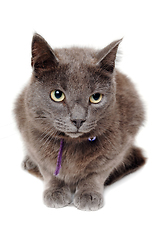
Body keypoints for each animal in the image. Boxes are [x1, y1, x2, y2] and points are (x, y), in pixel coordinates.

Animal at [14, 33, 146, 210]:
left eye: (96, 97)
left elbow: (96, 173)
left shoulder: (119, 147)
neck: (71, 144)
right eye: (57, 95)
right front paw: (55, 191)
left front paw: (88, 194)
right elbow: (49, 171)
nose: (78, 119)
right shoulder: (32, 138)